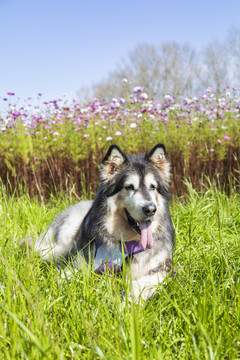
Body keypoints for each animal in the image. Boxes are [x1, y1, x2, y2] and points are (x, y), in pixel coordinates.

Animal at [27, 144, 174, 300]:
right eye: (129, 187)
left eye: (152, 187)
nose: (150, 210)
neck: (126, 242)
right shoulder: (79, 262)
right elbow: (63, 278)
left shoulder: (165, 270)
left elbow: (139, 285)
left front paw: (126, 304)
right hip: (61, 244)